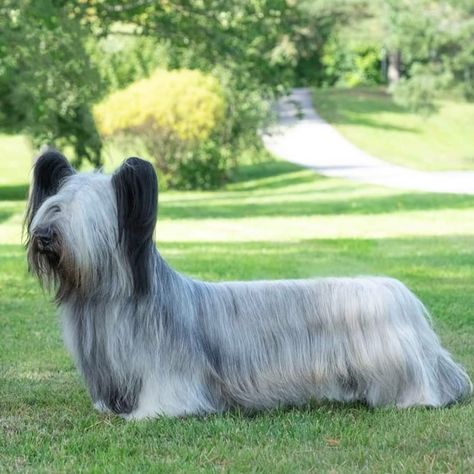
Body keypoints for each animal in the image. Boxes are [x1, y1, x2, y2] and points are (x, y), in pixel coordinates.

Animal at [25, 151, 470, 418]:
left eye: (82, 214)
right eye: (52, 206)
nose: (43, 235)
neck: (107, 298)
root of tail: (396, 292)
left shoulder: (170, 370)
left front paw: (149, 414)